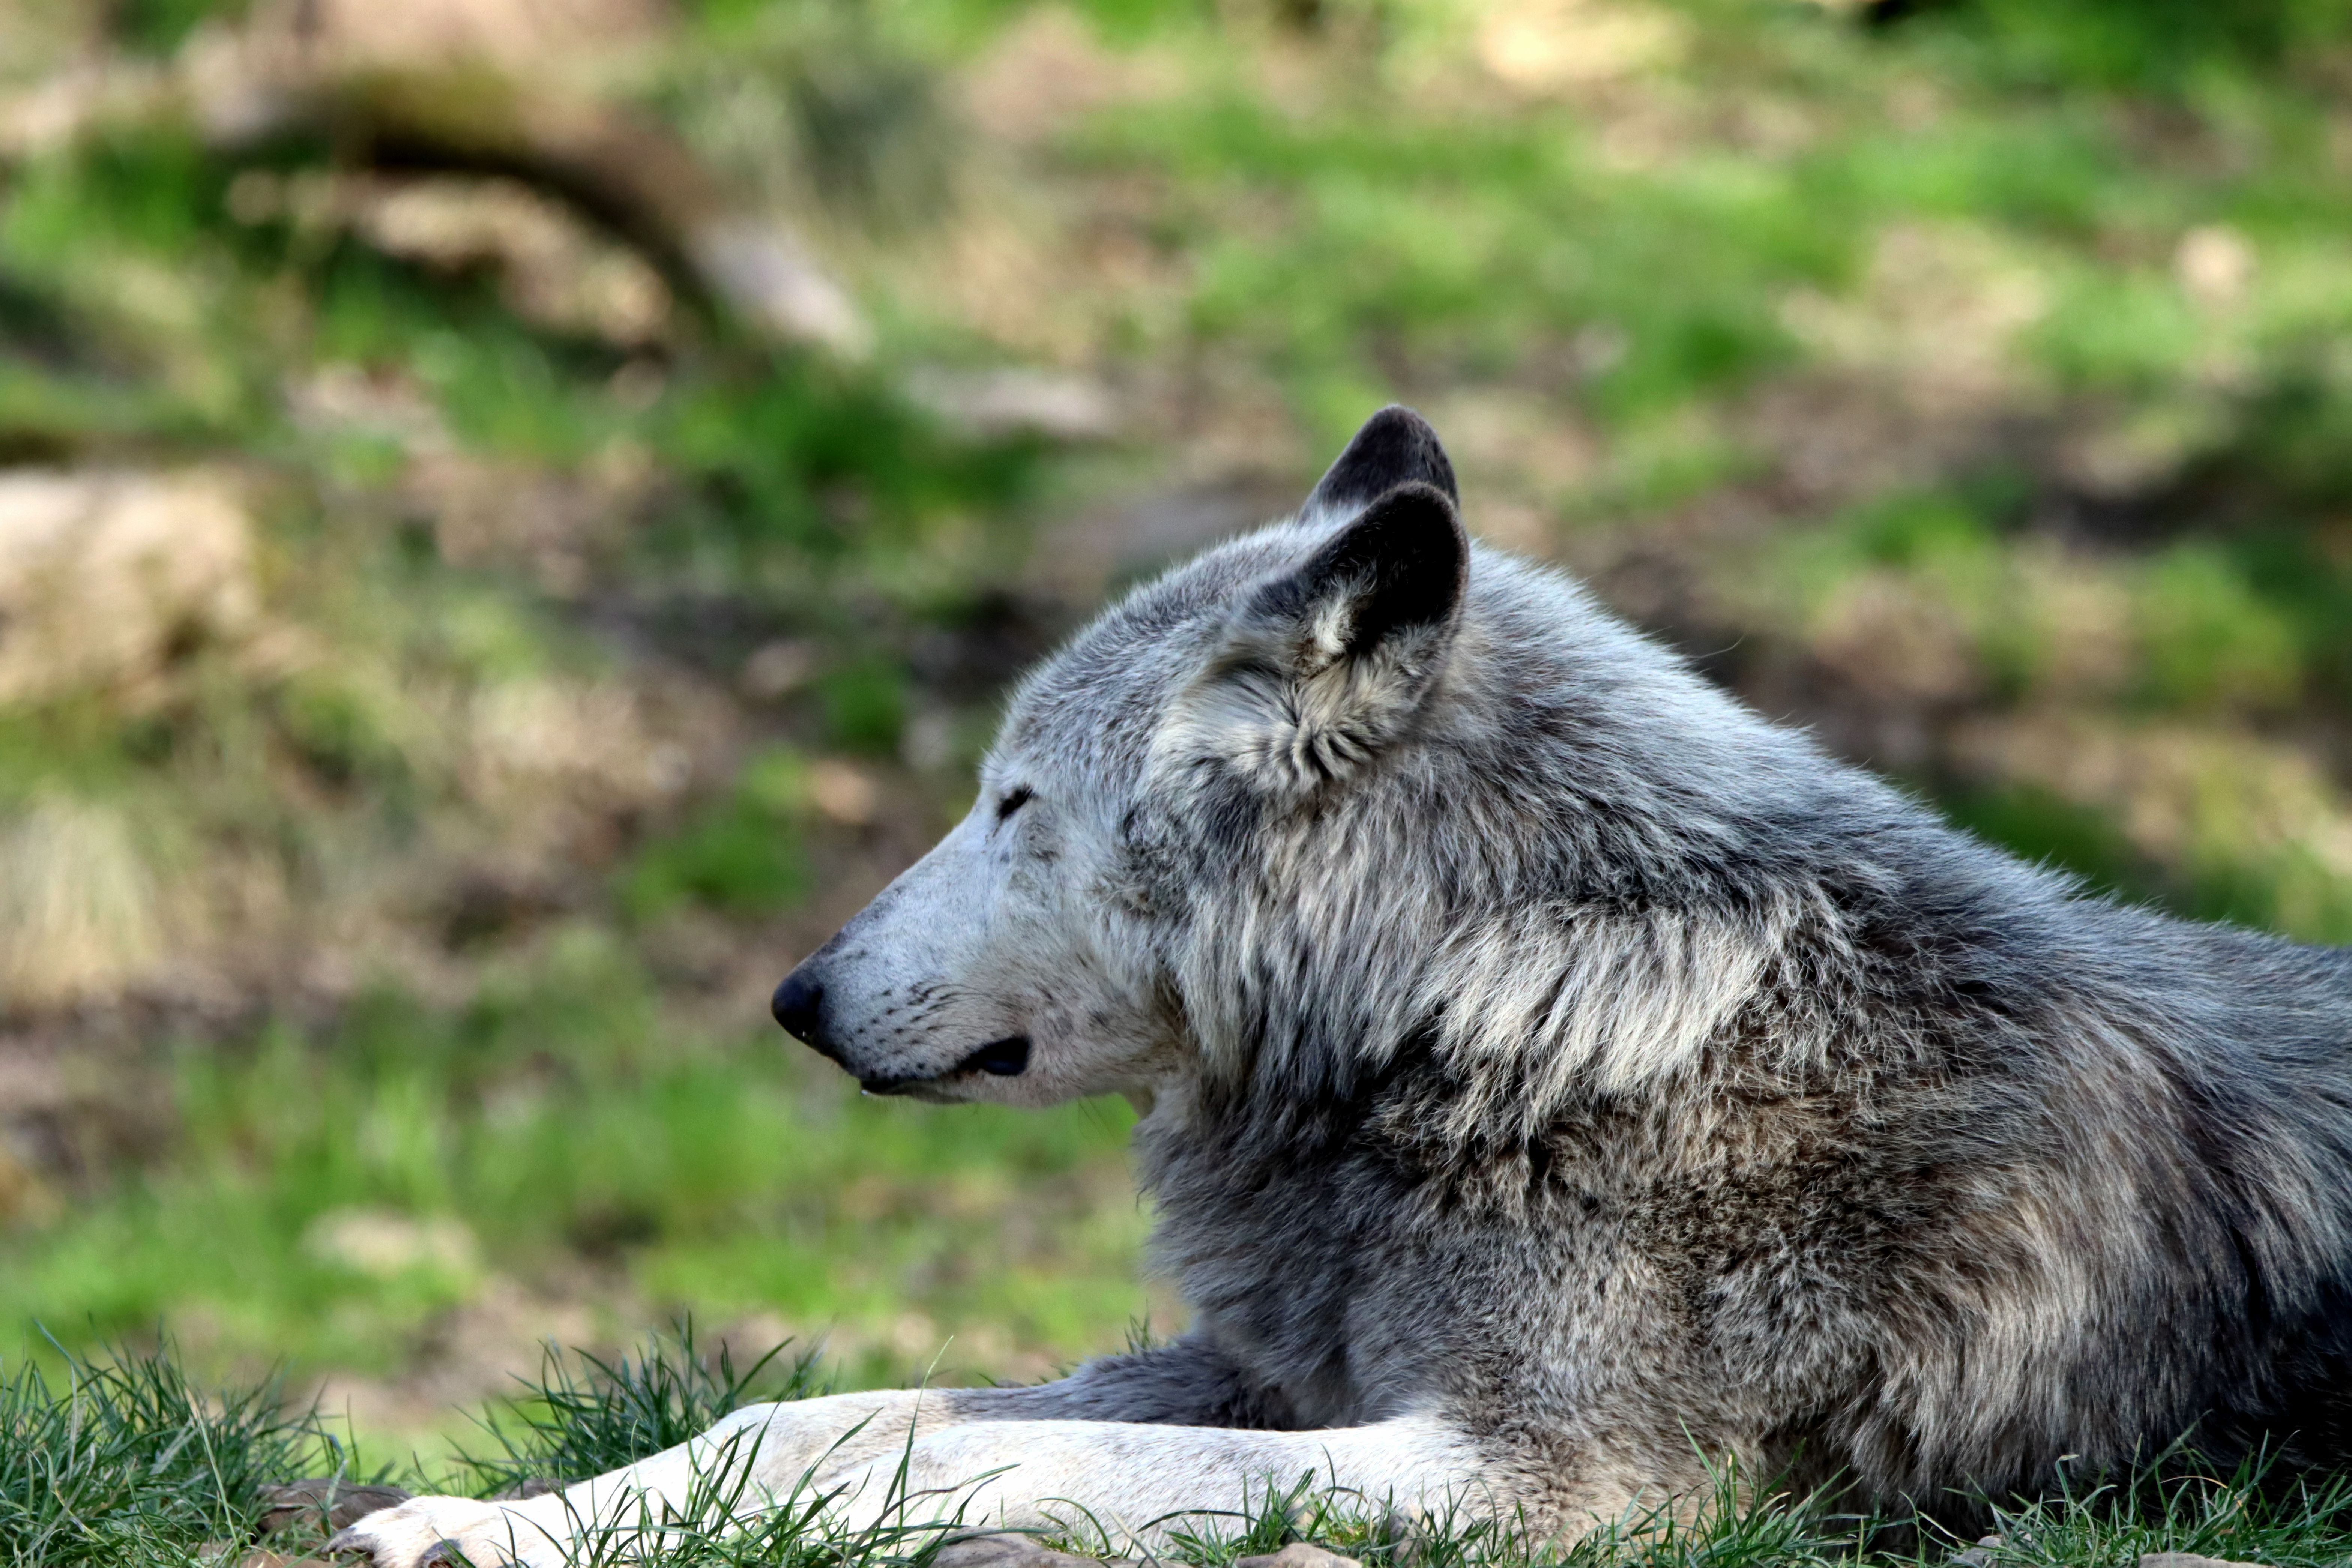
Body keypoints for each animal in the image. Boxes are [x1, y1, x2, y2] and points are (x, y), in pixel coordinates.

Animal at [338, 407, 2352, 1567]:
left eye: (1011, 803)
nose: (792, 995)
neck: (1511, 1009)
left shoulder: (1529, 1482)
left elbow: (951, 1468)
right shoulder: (1273, 1366)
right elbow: (814, 1421)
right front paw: (493, 1514)